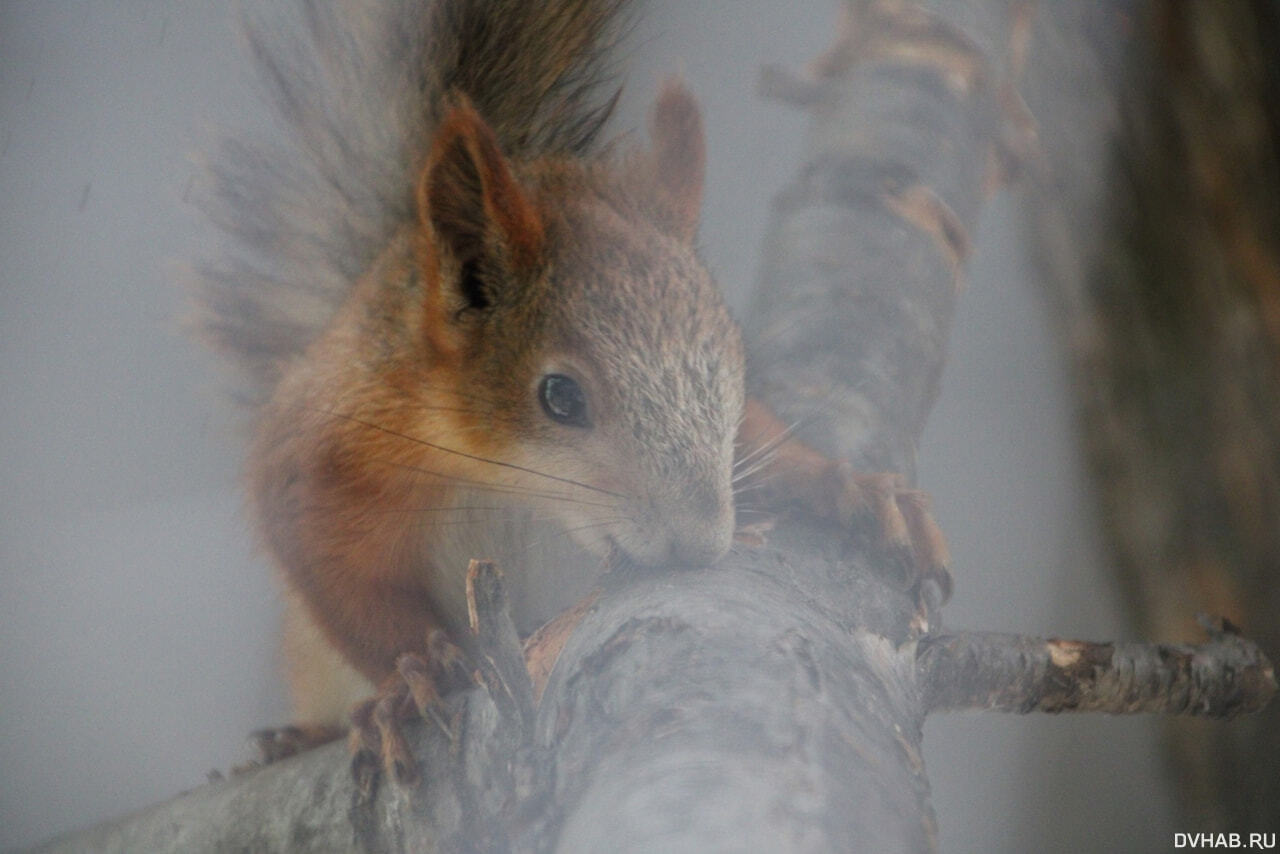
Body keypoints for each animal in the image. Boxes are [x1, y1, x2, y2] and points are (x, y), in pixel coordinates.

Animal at [192, 0, 952, 783]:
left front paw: (846, 487)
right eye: (559, 397)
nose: (702, 541)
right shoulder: (328, 452)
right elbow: (339, 584)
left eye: (732, 362)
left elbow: (767, 439)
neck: (508, 484)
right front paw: (409, 674)